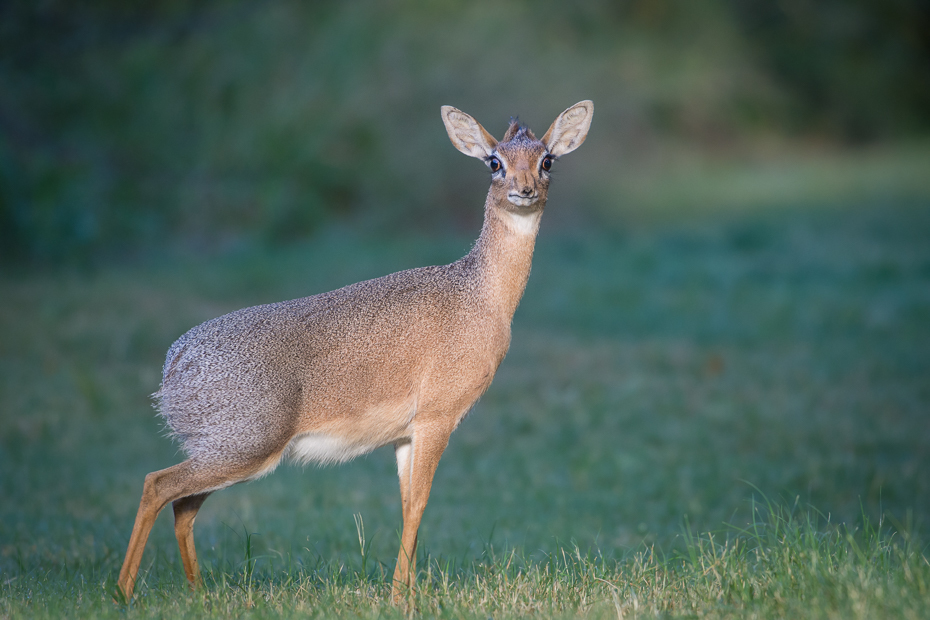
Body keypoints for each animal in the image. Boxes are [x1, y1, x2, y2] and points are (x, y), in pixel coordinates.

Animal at [116, 100, 592, 600]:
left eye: (547, 161)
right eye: (494, 162)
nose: (524, 190)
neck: (484, 299)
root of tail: (174, 365)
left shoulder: (405, 433)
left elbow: (407, 503)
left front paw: (409, 590)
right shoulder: (438, 415)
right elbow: (420, 501)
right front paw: (400, 595)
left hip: (225, 447)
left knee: (183, 504)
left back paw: (198, 591)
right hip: (247, 444)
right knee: (157, 484)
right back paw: (122, 591)